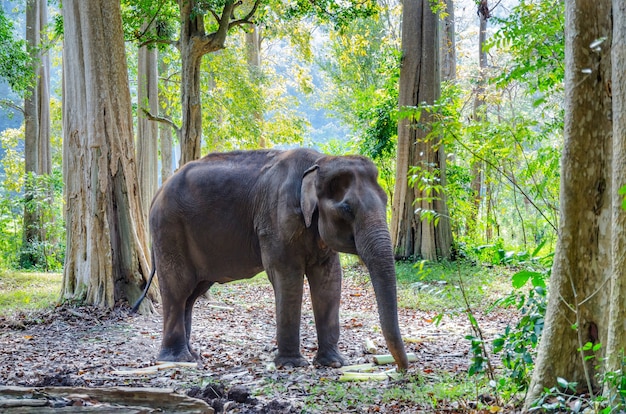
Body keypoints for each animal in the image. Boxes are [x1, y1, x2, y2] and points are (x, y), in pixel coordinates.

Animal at [133, 147, 410, 370]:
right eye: (347, 209)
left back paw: (193, 355)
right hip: (169, 230)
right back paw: (178, 360)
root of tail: (157, 192)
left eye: (385, 201)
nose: (400, 369)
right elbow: (287, 276)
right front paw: (292, 365)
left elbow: (330, 280)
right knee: (178, 289)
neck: (319, 162)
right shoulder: (277, 220)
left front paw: (333, 363)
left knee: (192, 294)